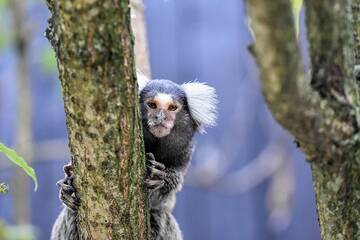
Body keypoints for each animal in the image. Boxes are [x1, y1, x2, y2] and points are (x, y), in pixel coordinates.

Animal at [50, 73, 219, 240]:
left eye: (172, 108)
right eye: (152, 105)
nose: (160, 117)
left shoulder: (183, 157)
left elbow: (165, 198)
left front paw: (160, 177)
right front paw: (68, 183)